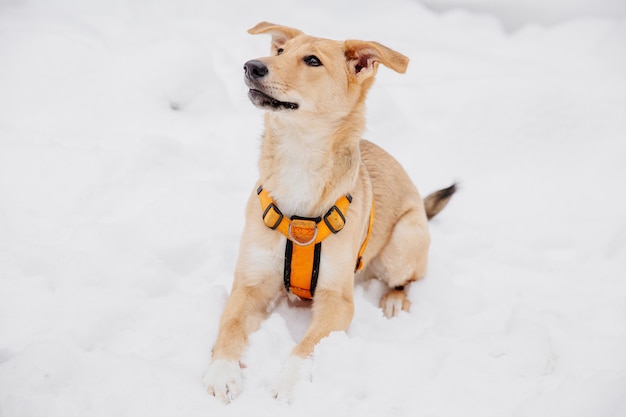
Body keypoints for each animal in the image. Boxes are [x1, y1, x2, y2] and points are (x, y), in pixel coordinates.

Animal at [204, 21, 454, 402]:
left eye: (312, 60)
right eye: (279, 51)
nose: (251, 66)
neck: (299, 159)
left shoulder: (338, 301)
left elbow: (306, 347)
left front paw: (288, 383)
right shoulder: (249, 285)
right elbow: (229, 327)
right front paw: (223, 371)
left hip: (404, 241)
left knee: (406, 281)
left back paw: (395, 301)